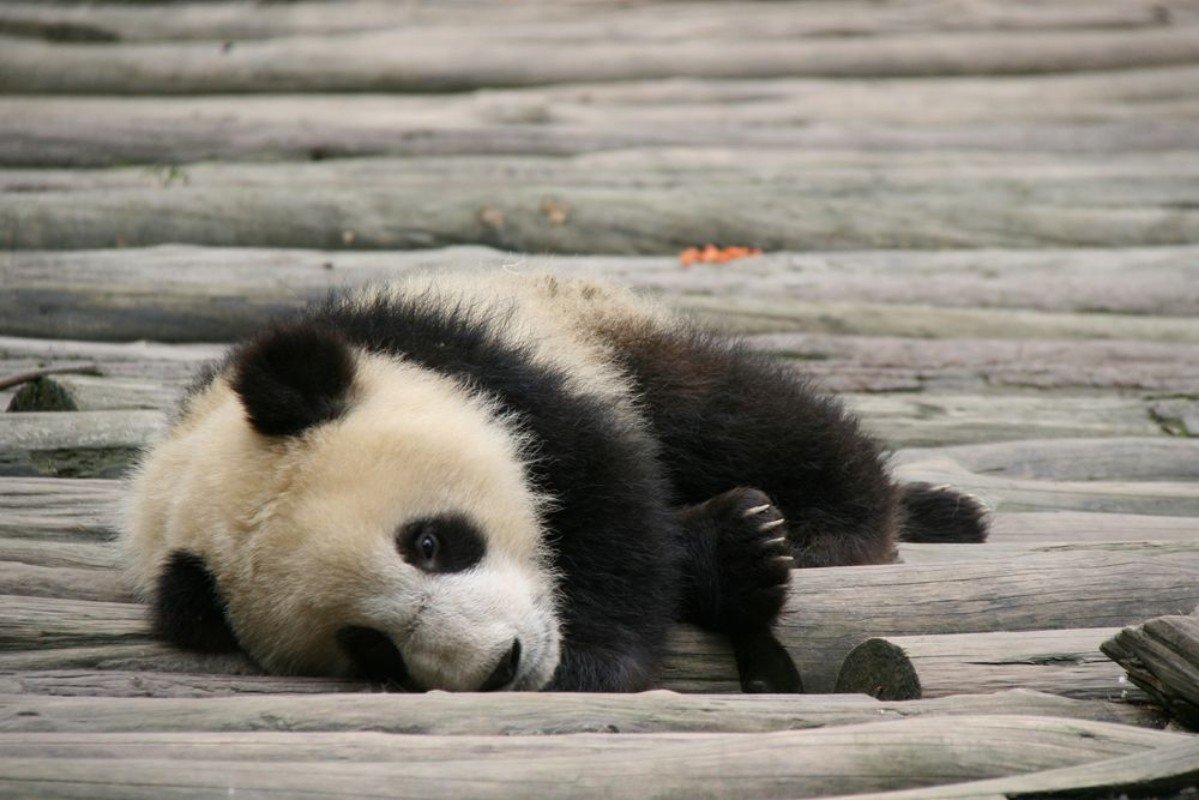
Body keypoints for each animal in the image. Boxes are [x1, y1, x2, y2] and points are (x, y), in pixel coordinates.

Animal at [122, 271, 987, 694]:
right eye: (367, 646)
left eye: (428, 543)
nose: (501, 664)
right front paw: (735, 554)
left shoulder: (486, 365)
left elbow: (608, 504)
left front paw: (602, 653)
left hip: (595, 329)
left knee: (736, 412)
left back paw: (846, 524)